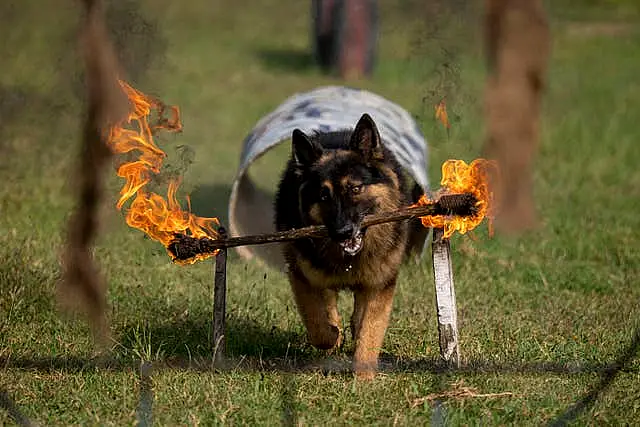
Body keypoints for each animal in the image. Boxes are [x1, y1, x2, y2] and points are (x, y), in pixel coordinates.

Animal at [274, 114, 416, 382]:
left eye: (355, 189)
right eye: (323, 196)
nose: (342, 232)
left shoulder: (380, 286)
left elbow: (370, 330)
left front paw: (363, 379)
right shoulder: (302, 278)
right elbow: (318, 324)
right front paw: (333, 335)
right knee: (329, 304)